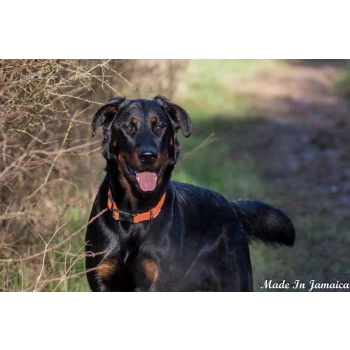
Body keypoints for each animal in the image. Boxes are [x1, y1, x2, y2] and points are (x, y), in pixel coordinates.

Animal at [85, 95, 296, 292]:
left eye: (160, 126)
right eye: (128, 127)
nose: (148, 156)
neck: (135, 213)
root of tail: (231, 207)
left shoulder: (156, 282)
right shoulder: (102, 280)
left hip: (236, 283)